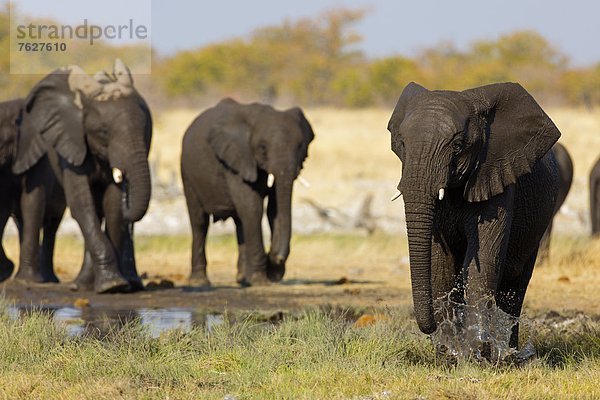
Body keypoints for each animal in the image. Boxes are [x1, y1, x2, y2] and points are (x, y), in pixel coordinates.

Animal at [12, 59, 152, 292]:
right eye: (104, 131)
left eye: (146, 129)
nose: (126, 181)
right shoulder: (70, 143)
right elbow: (81, 204)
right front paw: (111, 285)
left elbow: (112, 205)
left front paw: (116, 286)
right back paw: (83, 285)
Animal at [180, 100, 314, 288]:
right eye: (262, 148)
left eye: (301, 146)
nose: (276, 259)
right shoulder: (236, 159)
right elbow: (253, 208)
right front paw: (261, 281)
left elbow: (273, 209)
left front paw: (268, 274)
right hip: (187, 173)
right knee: (200, 222)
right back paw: (200, 282)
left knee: (240, 222)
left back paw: (243, 279)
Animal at [386, 82, 560, 356]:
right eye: (402, 144)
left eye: (458, 146)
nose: (430, 329)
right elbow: (441, 265)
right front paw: (449, 353)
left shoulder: (497, 177)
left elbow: (482, 264)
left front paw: (476, 354)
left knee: (515, 287)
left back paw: (507, 354)